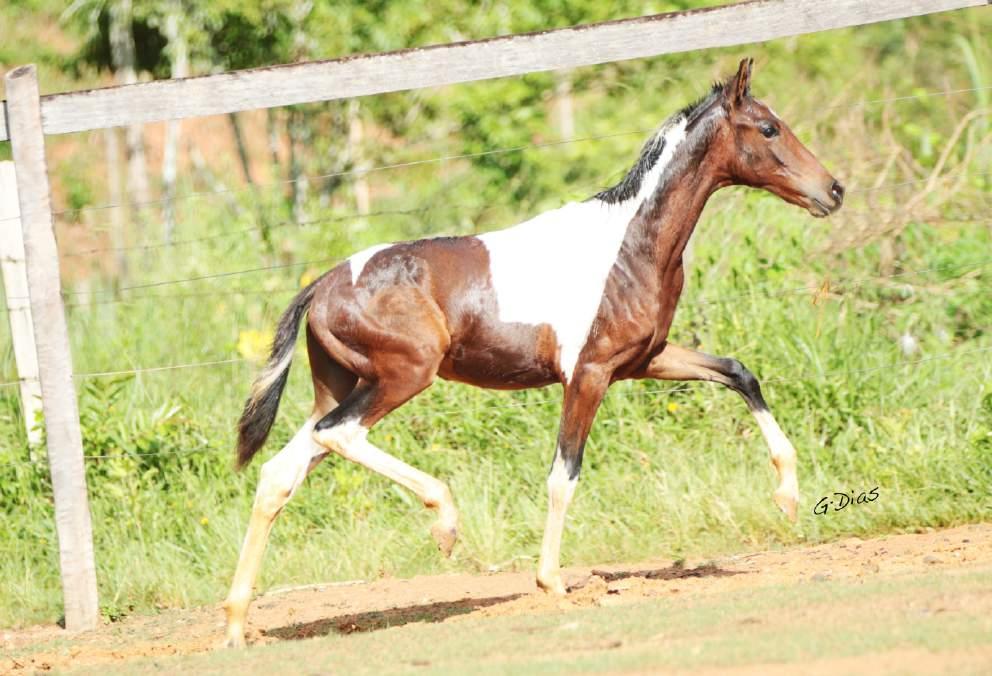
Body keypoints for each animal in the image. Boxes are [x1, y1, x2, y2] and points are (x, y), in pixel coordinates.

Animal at [225, 59, 844, 648]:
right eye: (769, 128)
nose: (834, 190)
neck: (628, 248)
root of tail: (323, 284)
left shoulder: (644, 360)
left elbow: (740, 374)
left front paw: (788, 497)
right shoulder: (588, 374)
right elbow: (563, 475)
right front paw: (550, 581)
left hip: (341, 386)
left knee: (280, 473)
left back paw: (234, 623)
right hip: (404, 376)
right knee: (340, 434)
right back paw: (445, 523)